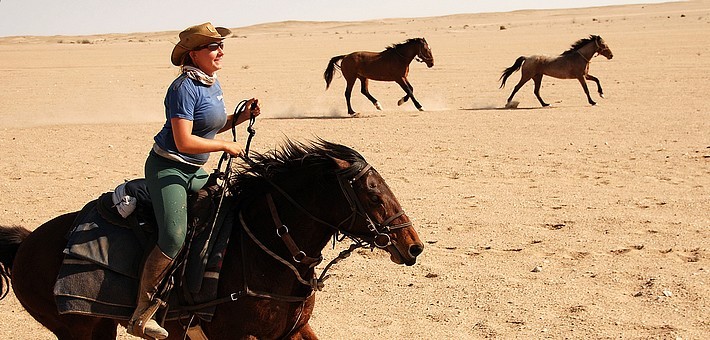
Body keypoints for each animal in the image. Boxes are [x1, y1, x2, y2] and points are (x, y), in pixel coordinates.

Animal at [0, 140, 422, 340]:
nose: (413, 245)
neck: (264, 249)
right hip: (79, 329)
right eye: (373, 195)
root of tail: (27, 243)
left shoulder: (292, 331)